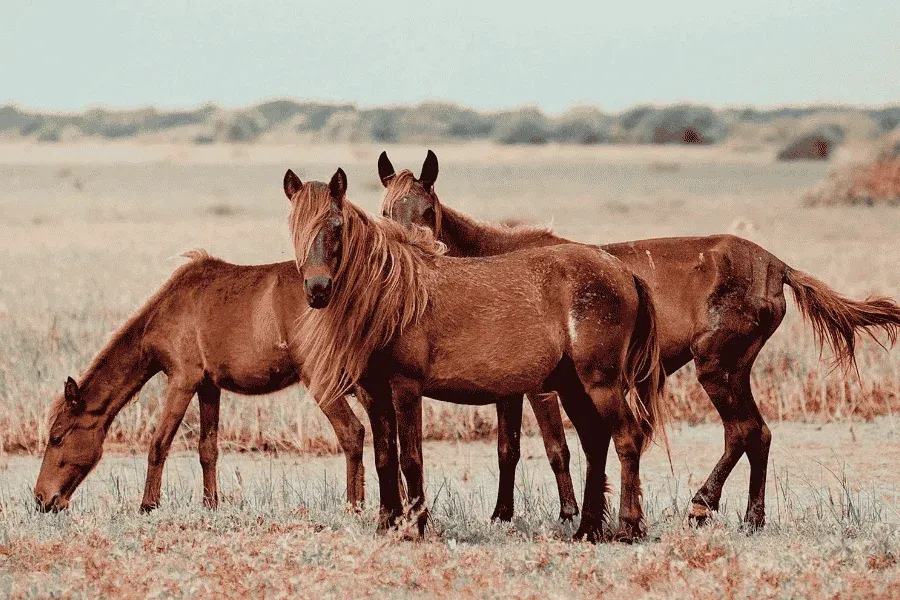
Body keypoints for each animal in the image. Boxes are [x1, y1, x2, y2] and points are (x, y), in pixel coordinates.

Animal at [33, 251, 371, 514]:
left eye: (57, 437)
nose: (41, 499)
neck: (167, 309)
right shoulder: (209, 387)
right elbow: (207, 449)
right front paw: (210, 504)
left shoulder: (183, 380)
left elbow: (159, 443)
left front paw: (147, 505)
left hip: (321, 379)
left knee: (352, 432)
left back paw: (353, 506)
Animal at [286, 167, 667, 542]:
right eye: (294, 226)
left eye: (336, 226)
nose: (317, 289)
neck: (393, 296)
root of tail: (624, 272)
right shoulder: (374, 392)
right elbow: (384, 458)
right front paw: (387, 523)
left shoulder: (406, 388)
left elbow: (410, 458)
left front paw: (417, 526)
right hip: (573, 386)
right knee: (594, 442)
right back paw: (587, 529)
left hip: (600, 383)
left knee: (626, 438)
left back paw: (627, 527)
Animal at [377, 149, 900, 529]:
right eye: (386, 210)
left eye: (428, 209)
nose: (413, 247)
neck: (493, 260)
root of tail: (776, 264)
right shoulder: (509, 387)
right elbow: (509, 448)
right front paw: (504, 515)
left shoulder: (542, 390)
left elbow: (556, 449)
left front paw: (569, 513)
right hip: (733, 369)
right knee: (759, 434)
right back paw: (750, 517)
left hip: (717, 368)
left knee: (744, 430)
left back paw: (703, 505)